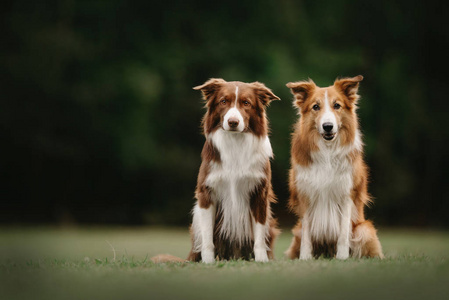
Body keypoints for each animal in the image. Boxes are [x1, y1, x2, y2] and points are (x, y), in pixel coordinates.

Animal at [186, 79, 280, 262]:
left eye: (246, 103)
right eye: (223, 101)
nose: (233, 122)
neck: (235, 142)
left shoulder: (259, 193)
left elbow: (259, 236)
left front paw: (261, 260)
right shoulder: (207, 192)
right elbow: (207, 237)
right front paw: (208, 262)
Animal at [284, 75, 382, 260]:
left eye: (337, 105)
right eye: (316, 107)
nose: (327, 126)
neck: (327, 152)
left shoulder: (346, 194)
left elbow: (343, 233)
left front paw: (342, 257)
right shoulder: (305, 194)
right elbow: (307, 234)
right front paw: (305, 258)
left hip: (364, 229)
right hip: (297, 231)